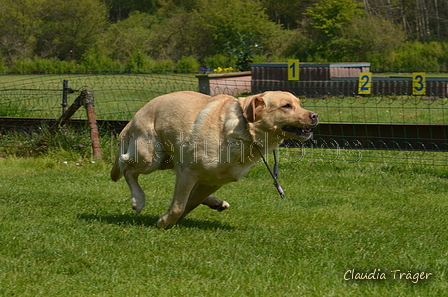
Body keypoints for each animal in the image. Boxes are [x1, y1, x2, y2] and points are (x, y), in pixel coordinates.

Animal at [110, 91, 316, 228]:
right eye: (286, 106)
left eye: (299, 104)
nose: (315, 115)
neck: (245, 132)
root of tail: (134, 117)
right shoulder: (189, 171)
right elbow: (179, 206)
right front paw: (165, 222)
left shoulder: (215, 180)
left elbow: (188, 202)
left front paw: (171, 220)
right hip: (151, 157)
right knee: (127, 170)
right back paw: (138, 200)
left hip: (167, 161)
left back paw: (216, 202)